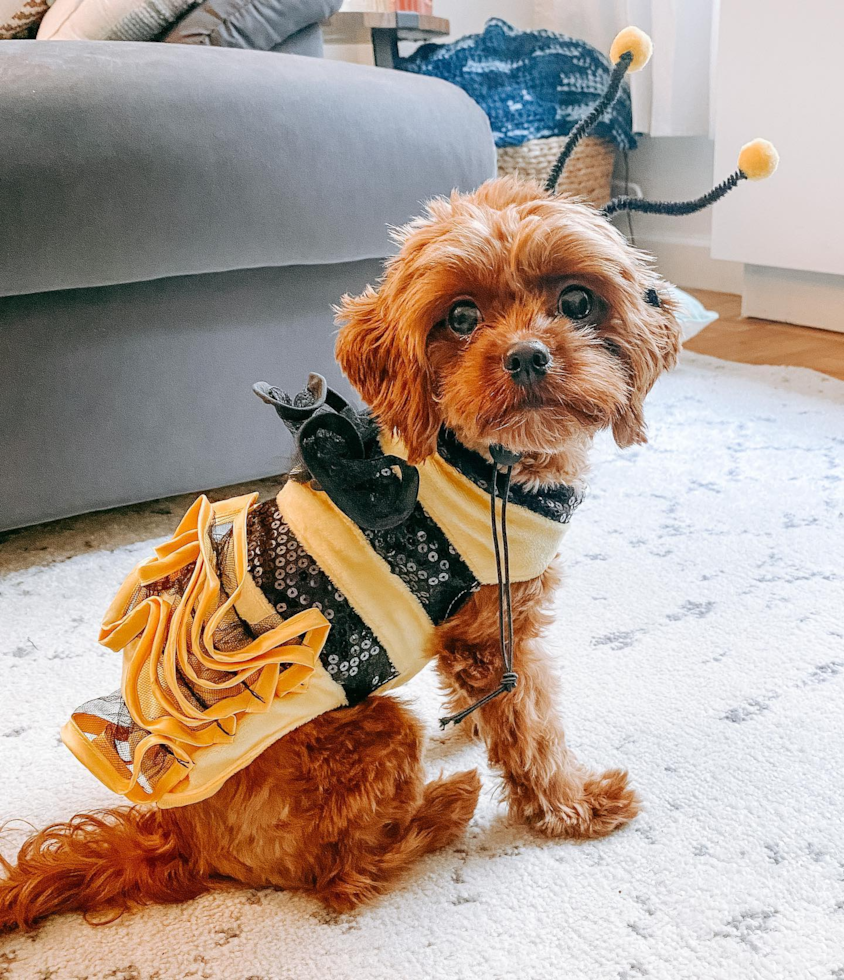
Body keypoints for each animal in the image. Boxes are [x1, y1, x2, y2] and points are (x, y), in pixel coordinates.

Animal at [0, 172, 680, 932]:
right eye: (461, 316)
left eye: (578, 301)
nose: (528, 355)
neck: (483, 460)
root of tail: (175, 834)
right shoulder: (494, 633)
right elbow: (532, 732)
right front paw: (574, 805)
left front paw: (476, 727)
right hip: (369, 731)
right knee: (343, 876)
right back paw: (441, 811)